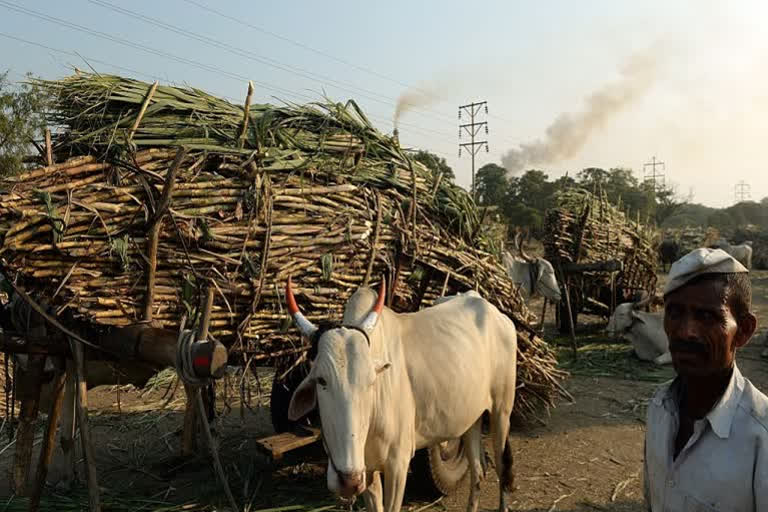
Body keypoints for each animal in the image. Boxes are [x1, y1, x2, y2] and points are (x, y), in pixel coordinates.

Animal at [284, 280, 520, 512]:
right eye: (321, 381)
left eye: (371, 381)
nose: (348, 480)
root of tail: (488, 306)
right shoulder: (368, 471)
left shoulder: (398, 464)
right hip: (471, 418)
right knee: (477, 471)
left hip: (501, 412)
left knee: (502, 468)